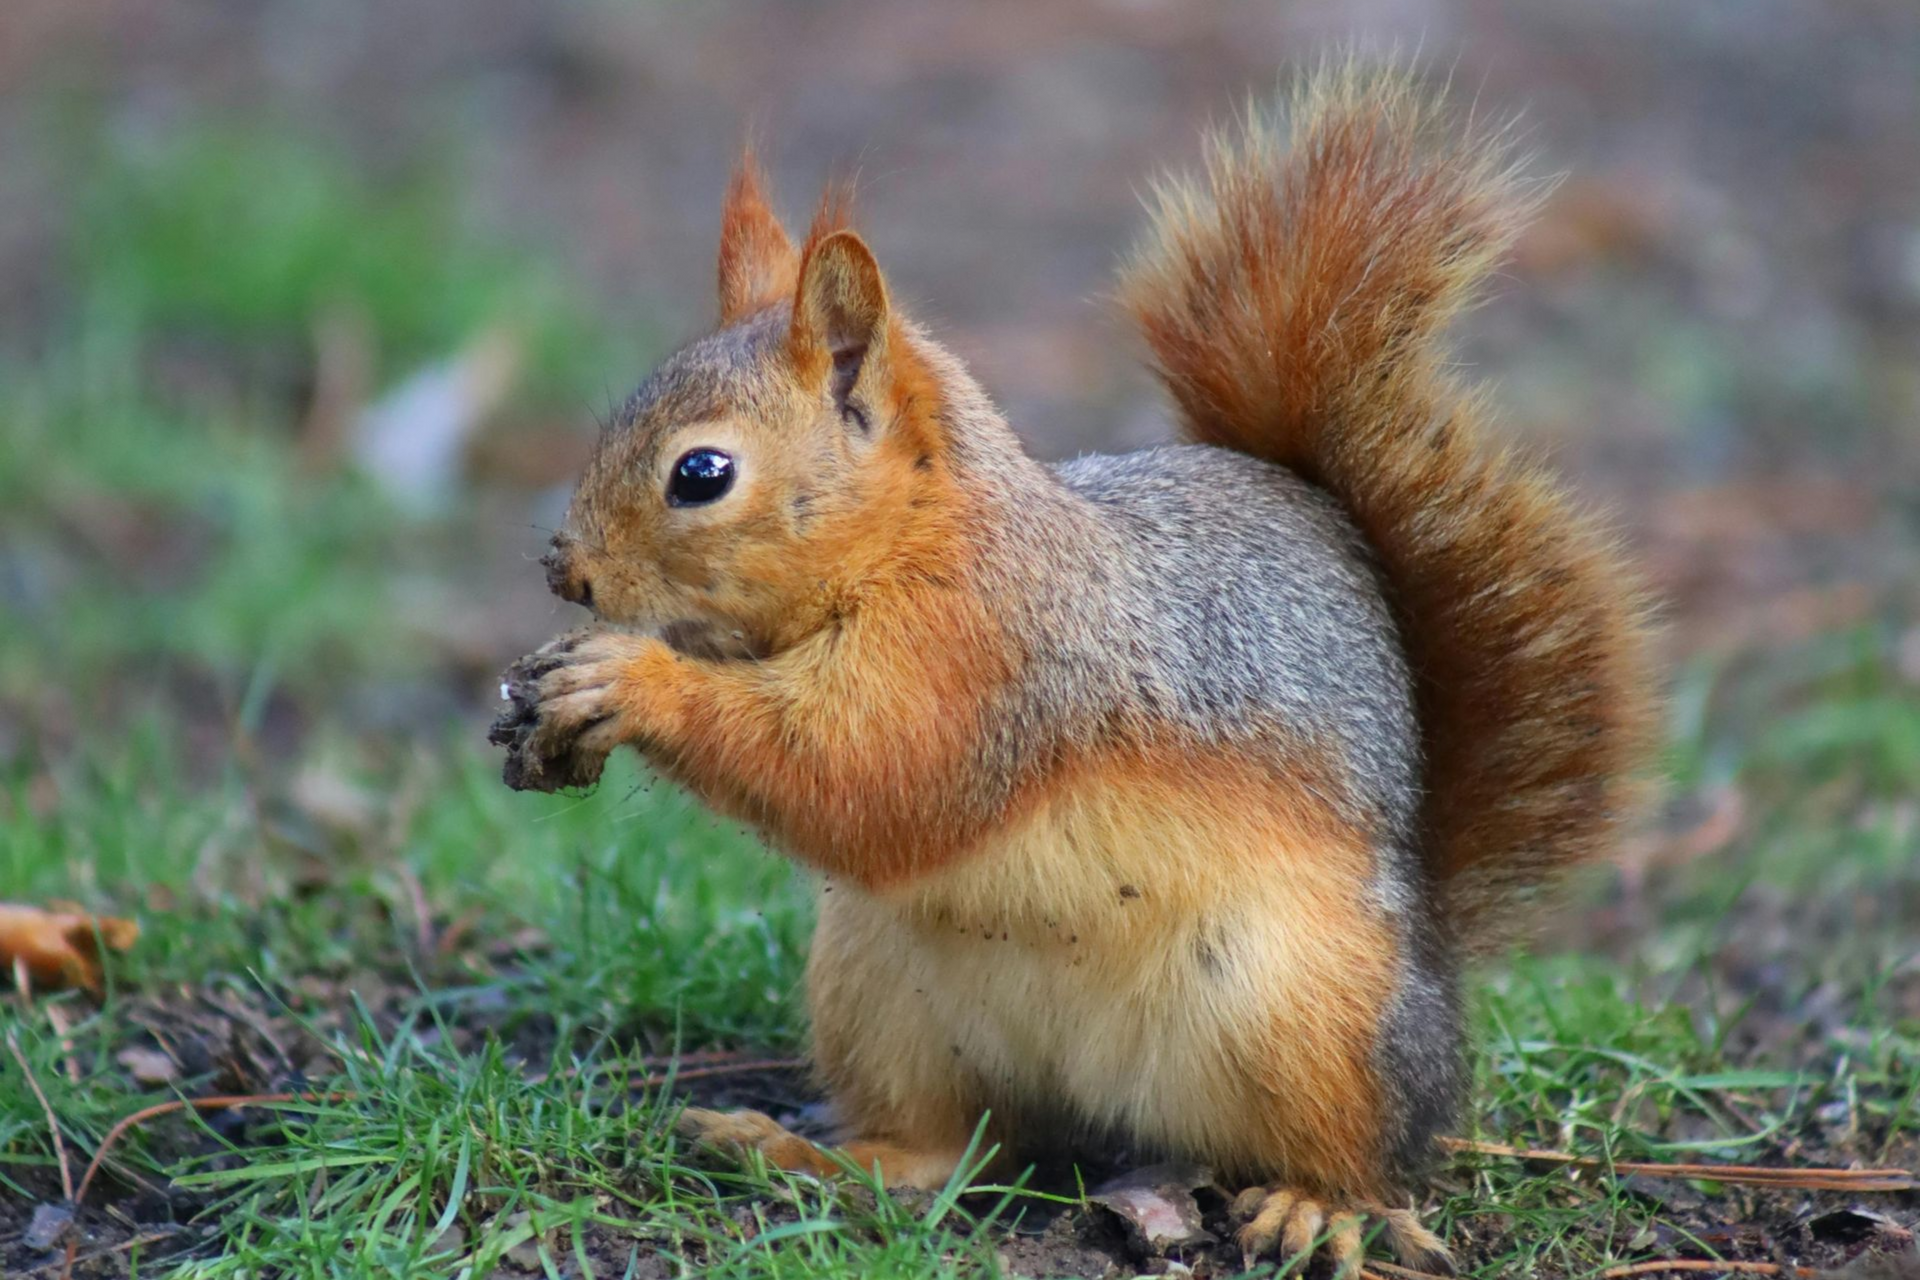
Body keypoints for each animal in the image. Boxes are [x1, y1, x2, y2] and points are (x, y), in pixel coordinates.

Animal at [490, 65, 1657, 1272]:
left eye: (702, 473)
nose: (566, 570)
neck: (922, 539)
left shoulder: (990, 660)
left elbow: (866, 775)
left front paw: (628, 682)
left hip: (1310, 1012)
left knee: (1368, 1151)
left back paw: (1317, 1203)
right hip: (880, 993)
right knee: (957, 1145)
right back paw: (797, 1150)